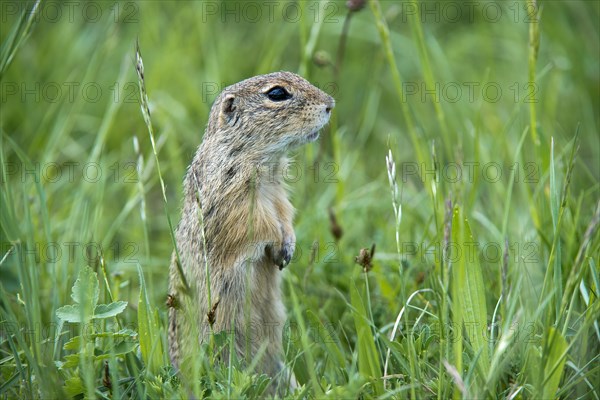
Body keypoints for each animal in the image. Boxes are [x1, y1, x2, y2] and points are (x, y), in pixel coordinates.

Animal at [169, 71, 336, 390]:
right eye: (277, 94)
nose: (330, 104)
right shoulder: (237, 200)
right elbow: (261, 227)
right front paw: (280, 247)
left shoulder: (279, 196)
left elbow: (284, 215)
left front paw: (289, 246)